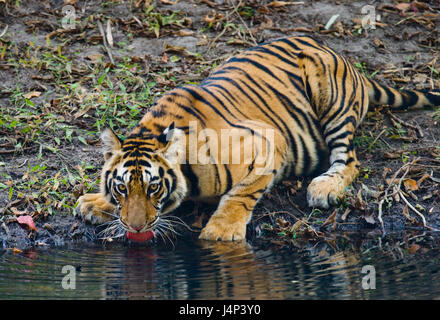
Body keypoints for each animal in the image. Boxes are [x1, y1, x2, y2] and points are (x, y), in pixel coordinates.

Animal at [75, 35, 440, 240]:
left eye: (153, 188)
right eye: (122, 188)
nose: (136, 228)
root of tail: (346, 59)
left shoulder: (269, 142)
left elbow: (242, 193)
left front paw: (221, 232)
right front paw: (95, 202)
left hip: (331, 100)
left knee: (349, 161)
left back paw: (324, 187)